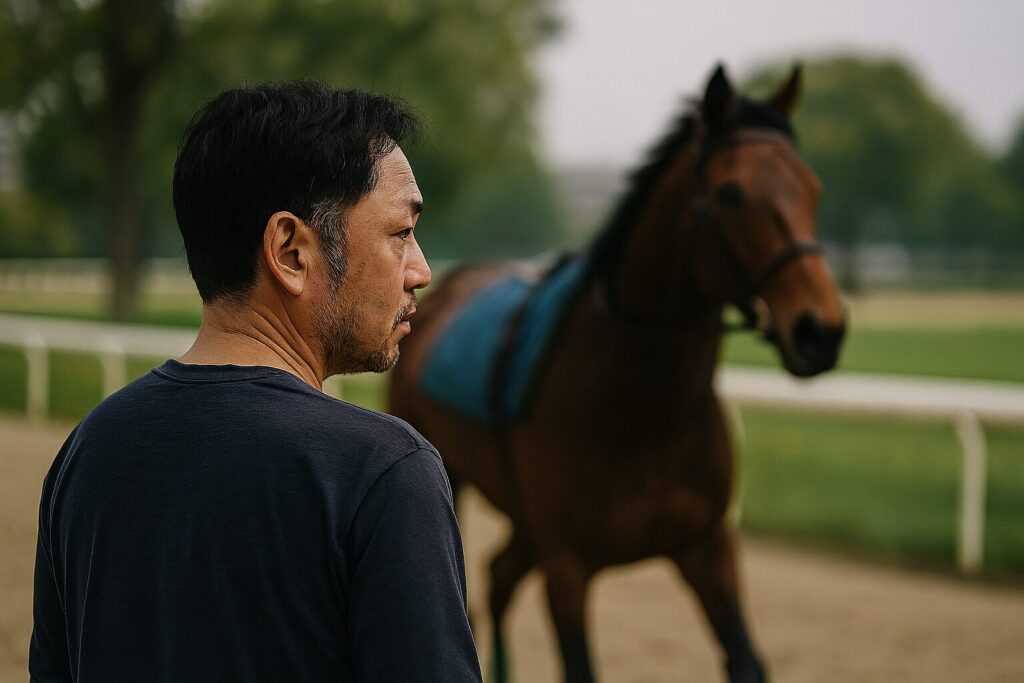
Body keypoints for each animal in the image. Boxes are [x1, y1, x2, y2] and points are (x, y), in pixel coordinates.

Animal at [388, 64, 846, 683]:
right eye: (730, 193)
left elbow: (747, 660)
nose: (821, 330)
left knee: (500, 576)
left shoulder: (707, 546)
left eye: (813, 188)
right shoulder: (568, 566)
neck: (641, 408)